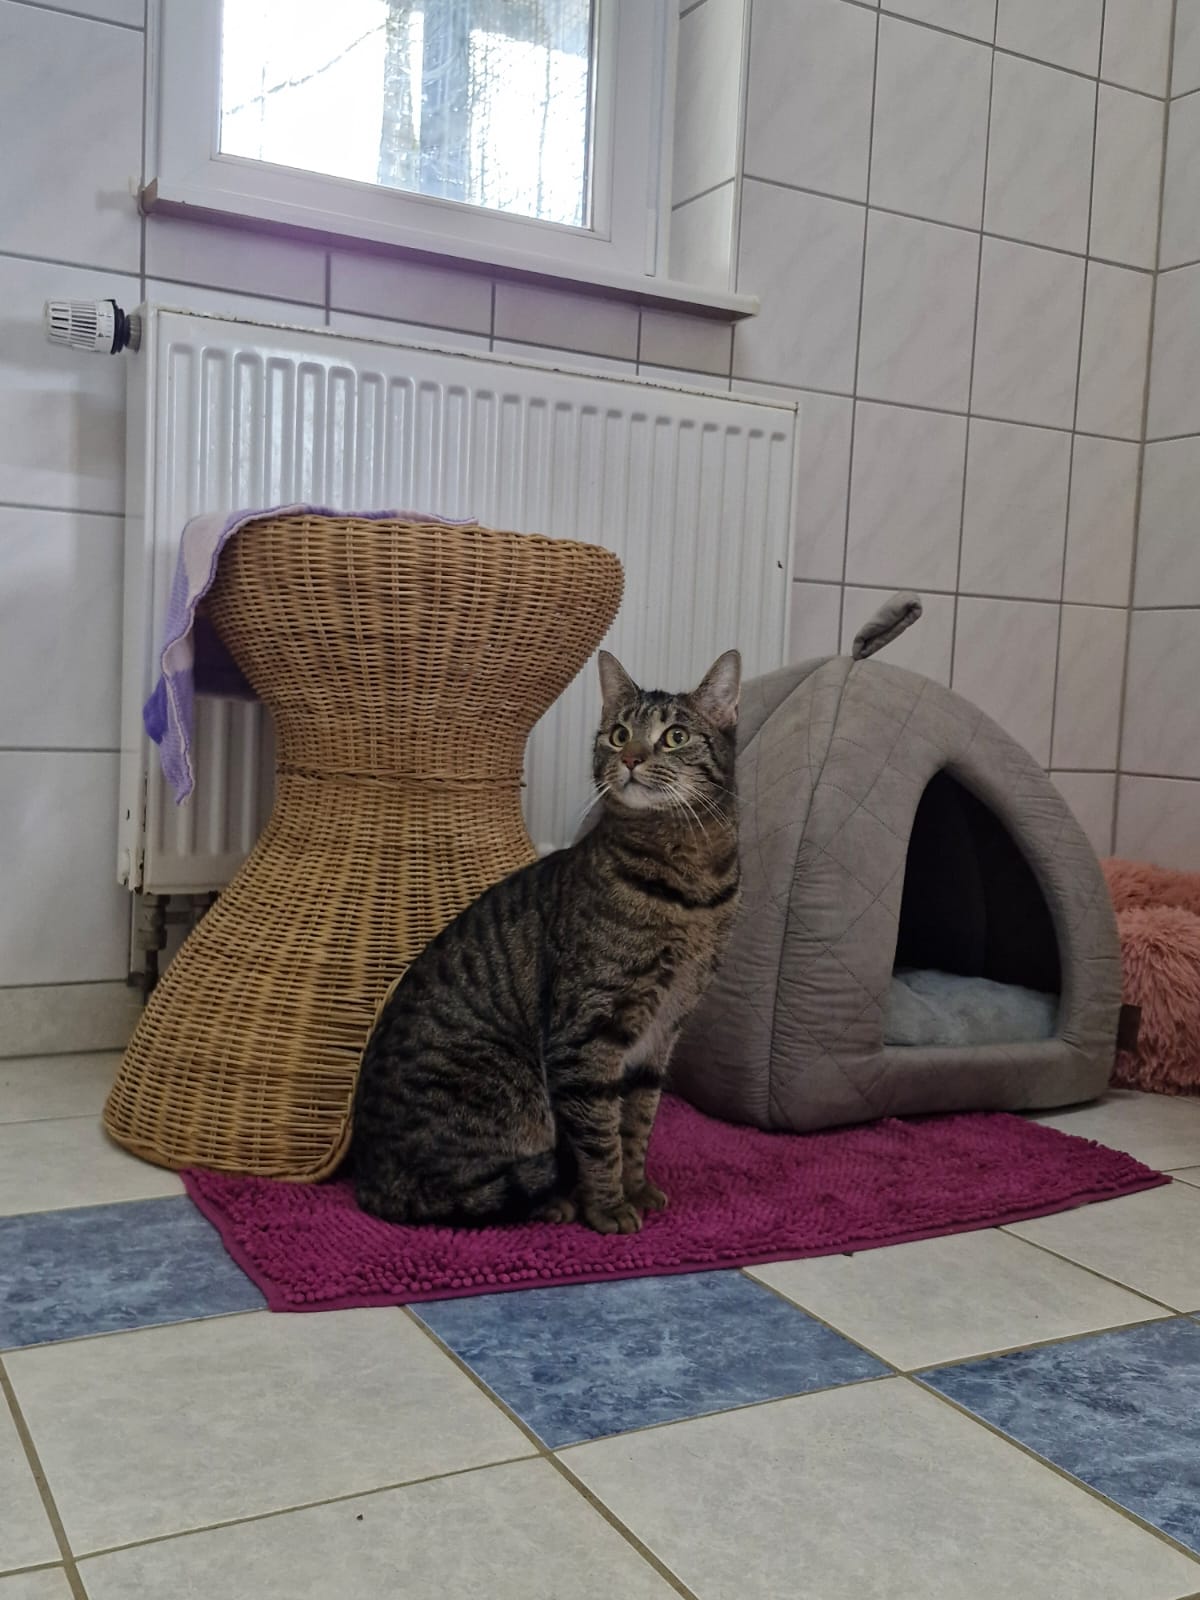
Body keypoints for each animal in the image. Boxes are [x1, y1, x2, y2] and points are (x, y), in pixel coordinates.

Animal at [351, 647, 742, 1234]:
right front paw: (608, 1208)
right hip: (508, 1090)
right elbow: (600, 1137)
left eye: (674, 736)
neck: (688, 886)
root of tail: (366, 1177)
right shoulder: (587, 1034)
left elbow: (637, 1125)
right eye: (619, 733)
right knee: (455, 1194)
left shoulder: (661, 1034)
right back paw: (554, 1202)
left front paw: (637, 1188)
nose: (630, 757)